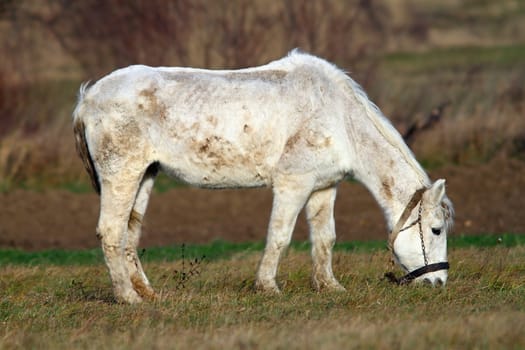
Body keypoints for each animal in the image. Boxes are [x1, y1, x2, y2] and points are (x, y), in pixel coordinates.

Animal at [71, 50, 452, 304]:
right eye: (435, 229)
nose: (438, 282)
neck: (338, 117)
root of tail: (88, 98)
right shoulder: (293, 184)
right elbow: (279, 237)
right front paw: (268, 286)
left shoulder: (324, 187)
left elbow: (325, 239)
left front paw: (329, 286)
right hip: (122, 175)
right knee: (111, 232)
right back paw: (127, 298)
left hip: (145, 176)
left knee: (129, 234)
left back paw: (147, 292)